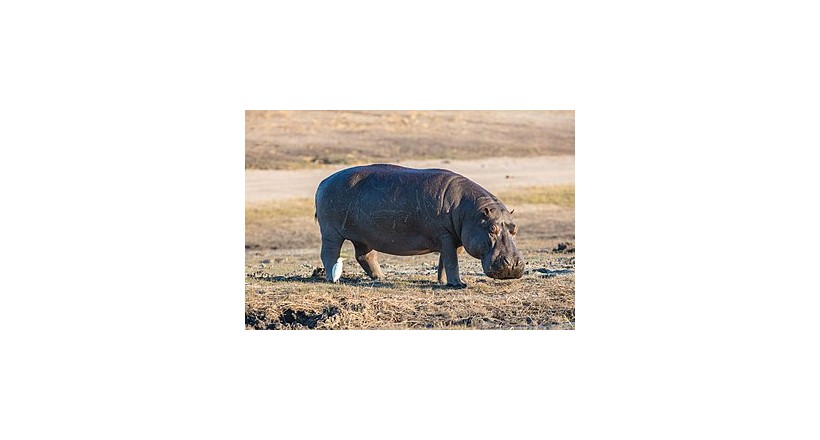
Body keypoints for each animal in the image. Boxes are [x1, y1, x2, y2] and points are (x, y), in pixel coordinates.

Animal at [314, 164, 525, 288]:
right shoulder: (446, 236)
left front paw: (443, 281)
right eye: (492, 229)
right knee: (329, 253)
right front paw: (459, 284)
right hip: (331, 231)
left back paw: (381, 277)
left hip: (364, 236)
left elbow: (446, 261)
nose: (513, 265)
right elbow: (451, 261)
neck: (471, 212)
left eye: (514, 229)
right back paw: (332, 279)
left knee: (365, 255)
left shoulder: (453, 238)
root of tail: (324, 181)